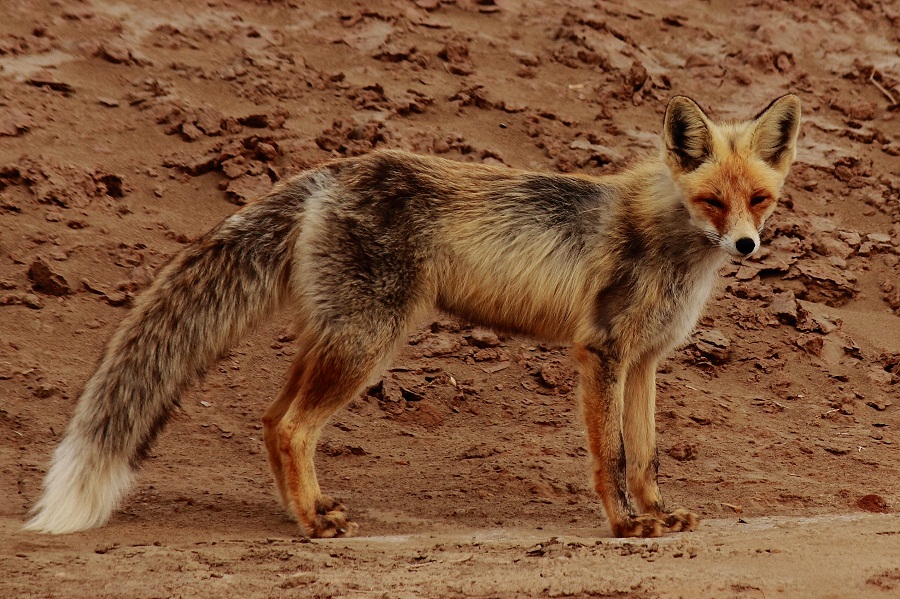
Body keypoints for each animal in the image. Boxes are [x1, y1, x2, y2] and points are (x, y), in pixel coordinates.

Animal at [24, 94, 800, 540]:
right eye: (713, 200)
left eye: (759, 199)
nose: (747, 246)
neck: (674, 242)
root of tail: (333, 171)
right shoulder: (600, 352)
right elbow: (608, 458)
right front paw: (622, 526)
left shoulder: (643, 362)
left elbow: (645, 456)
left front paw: (657, 515)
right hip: (368, 344)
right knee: (294, 426)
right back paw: (311, 525)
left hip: (339, 338)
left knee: (273, 420)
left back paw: (307, 512)